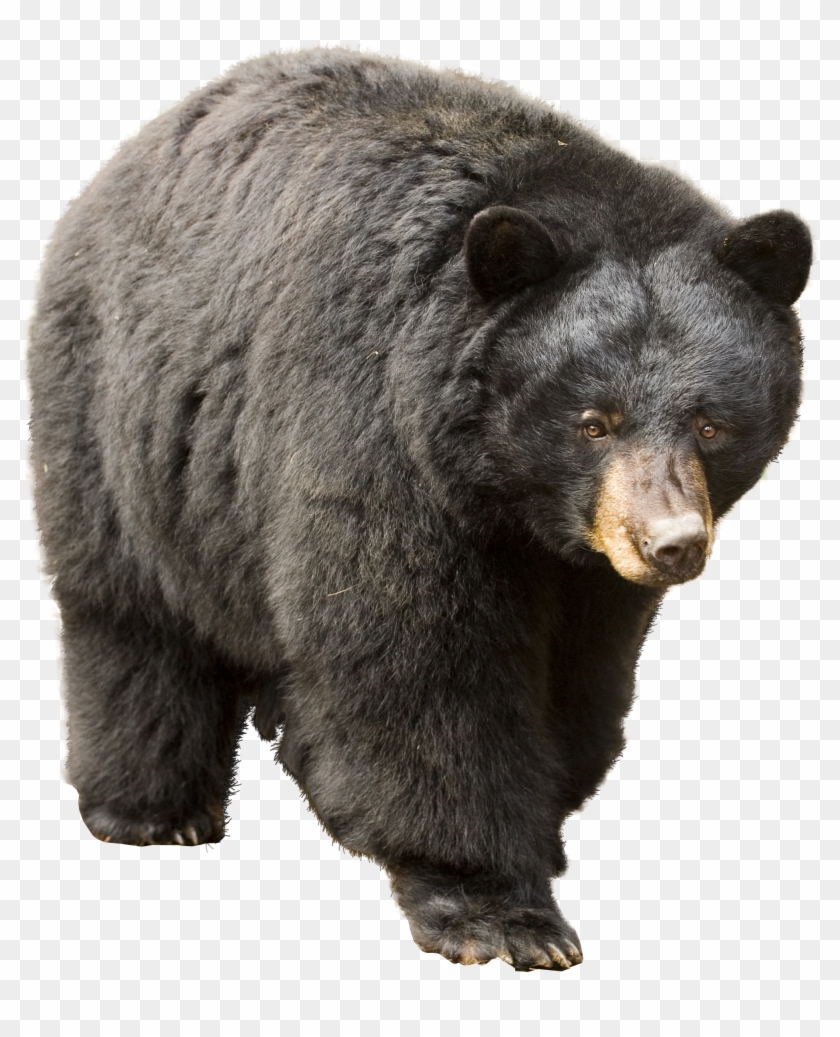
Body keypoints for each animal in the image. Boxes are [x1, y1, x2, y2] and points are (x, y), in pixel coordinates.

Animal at [27, 48, 811, 972]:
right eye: (594, 421)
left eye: (711, 422)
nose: (671, 543)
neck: (503, 491)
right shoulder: (377, 433)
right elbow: (419, 663)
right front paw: (495, 908)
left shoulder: (585, 572)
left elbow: (579, 674)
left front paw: (541, 832)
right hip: (120, 416)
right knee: (132, 613)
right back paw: (153, 809)